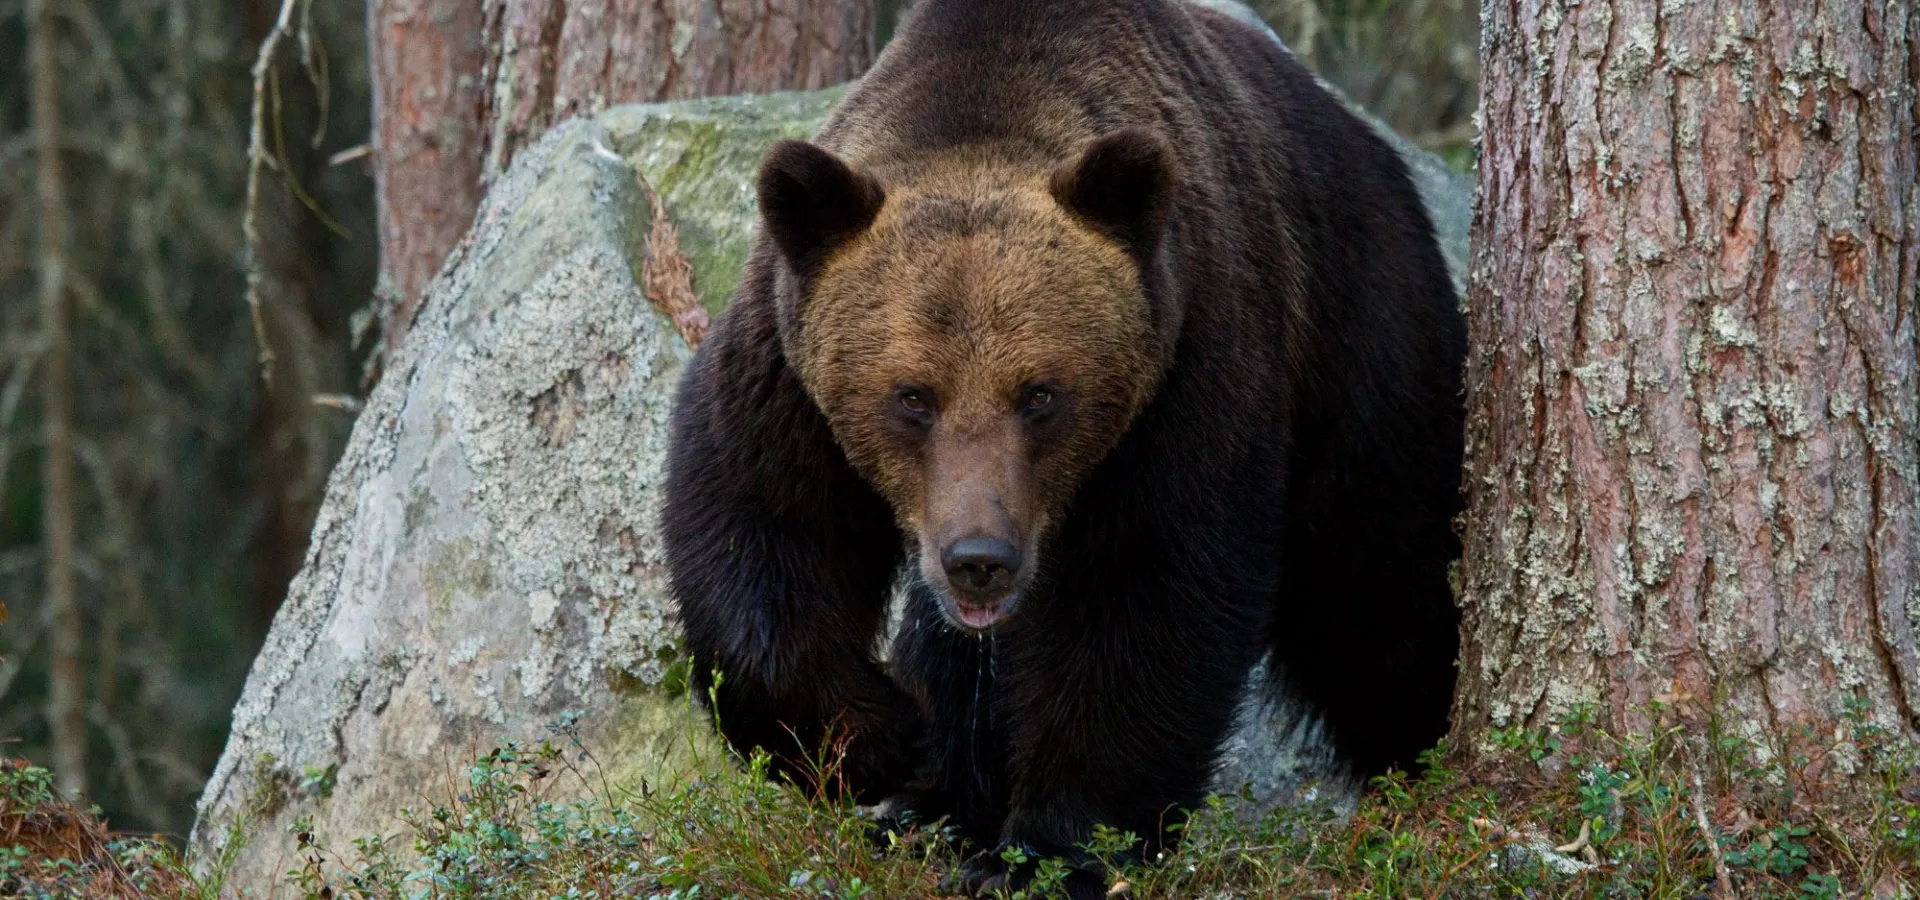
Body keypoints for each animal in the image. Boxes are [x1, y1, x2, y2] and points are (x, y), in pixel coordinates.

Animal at [668, 0, 1459, 886]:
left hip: (1361, 346)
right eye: (913, 396)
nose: (979, 557)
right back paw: (933, 807)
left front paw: (1047, 850)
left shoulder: (1184, 375)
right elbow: (760, 526)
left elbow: (1142, 597)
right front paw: (888, 741)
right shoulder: (786, 372)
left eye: (1040, 394)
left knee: (1383, 589)